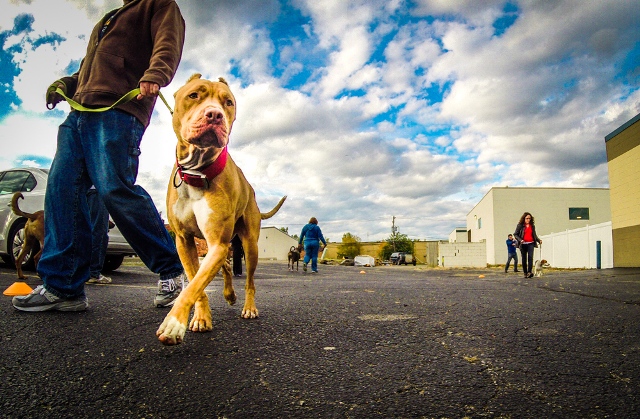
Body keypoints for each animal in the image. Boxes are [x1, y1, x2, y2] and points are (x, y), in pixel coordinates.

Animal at [156, 74, 286, 346]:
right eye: (194, 95)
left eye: (228, 103)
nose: (214, 114)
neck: (197, 171)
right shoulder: (184, 240)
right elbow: (196, 282)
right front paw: (201, 318)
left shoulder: (217, 241)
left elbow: (194, 285)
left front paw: (173, 323)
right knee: (225, 265)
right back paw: (228, 294)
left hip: (249, 245)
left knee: (249, 280)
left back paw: (247, 306)